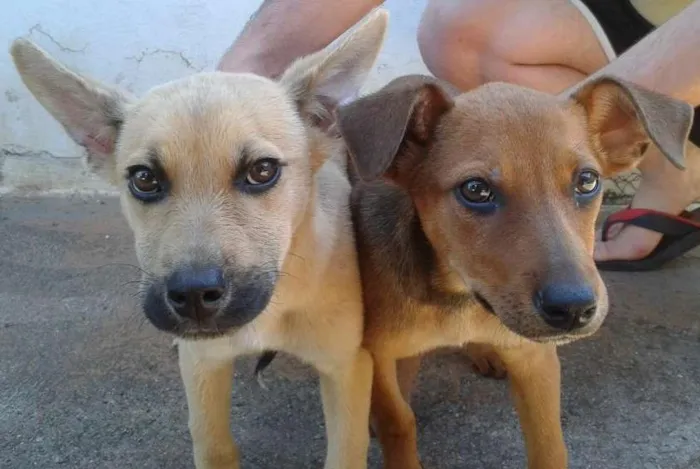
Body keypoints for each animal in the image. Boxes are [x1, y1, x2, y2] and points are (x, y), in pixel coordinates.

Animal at [10, 7, 392, 468]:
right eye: (144, 179)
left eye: (263, 171)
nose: (192, 296)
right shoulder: (203, 365)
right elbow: (212, 443)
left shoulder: (347, 367)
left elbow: (346, 450)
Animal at [340, 74, 696, 468]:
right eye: (475, 190)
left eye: (587, 181)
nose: (574, 309)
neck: (459, 296)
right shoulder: (376, 353)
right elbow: (398, 421)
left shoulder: (535, 359)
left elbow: (549, 444)